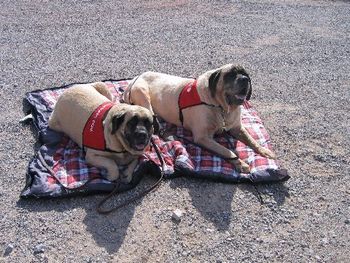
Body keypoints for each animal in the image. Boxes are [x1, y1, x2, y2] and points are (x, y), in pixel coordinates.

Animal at [123, 64, 276, 174]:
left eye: (246, 74)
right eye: (230, 75)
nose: (245, 79)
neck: (221, 107)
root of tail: (134, 79)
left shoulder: (237, 128)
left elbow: (251, 140)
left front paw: (264, 150)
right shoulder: (203, 138)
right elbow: (227, 151)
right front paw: (240, 163)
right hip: (143, 94)